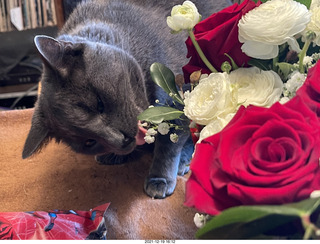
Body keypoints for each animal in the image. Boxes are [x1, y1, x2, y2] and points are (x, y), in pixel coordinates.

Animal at [23, 0, 232, 198]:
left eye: (99, 103)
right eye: (89, 142)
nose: (120, 140)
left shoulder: (180, 96)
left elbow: (169, 145)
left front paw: (159, 179)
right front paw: (115, 154)